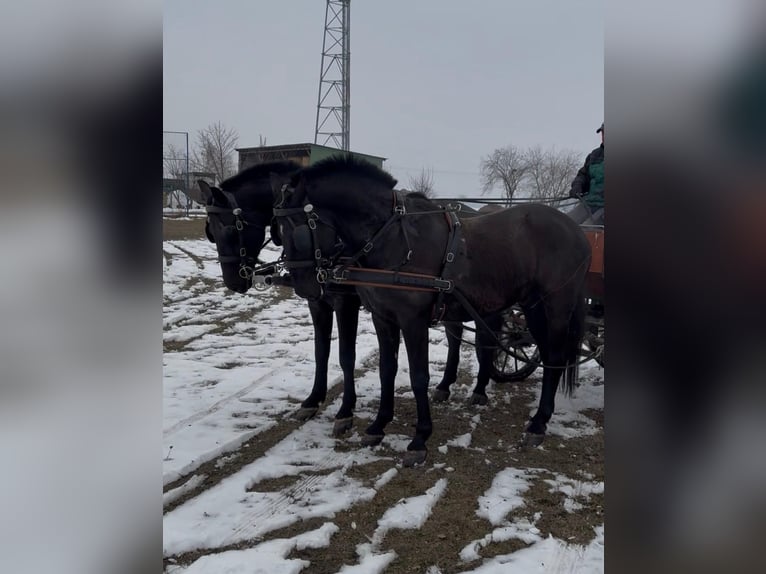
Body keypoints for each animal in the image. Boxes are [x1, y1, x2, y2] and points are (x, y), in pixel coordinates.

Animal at [271, 155, 591, 466]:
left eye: (298, 228)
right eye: (278, 230)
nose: (305, 287)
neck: (393, 237)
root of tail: (576, 231)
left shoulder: (412, 321)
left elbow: (418, 376)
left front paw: (419, 439)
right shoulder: (382, 318)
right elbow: (387, 370)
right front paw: (378, 425)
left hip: (556, 307)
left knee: (554, 356)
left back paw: (538, 423)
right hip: (532, 306)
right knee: (538, 353)